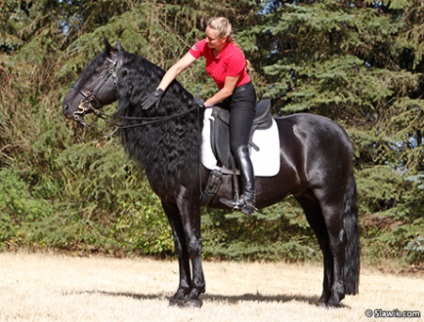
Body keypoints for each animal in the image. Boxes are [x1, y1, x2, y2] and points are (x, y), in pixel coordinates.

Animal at [63, 39, 360, 308]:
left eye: (97, 72)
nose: (66, 106)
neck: (177, 128)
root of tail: (340, 133)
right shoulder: (168, 201)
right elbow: (180, 245)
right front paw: (179, 293)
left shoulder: (187, 198)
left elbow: (193, 242)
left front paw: (195, 295)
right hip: (309, 200)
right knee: (325, 243)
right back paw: (323, 298)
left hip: (329, 199)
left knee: (336, 241)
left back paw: (334, 298)